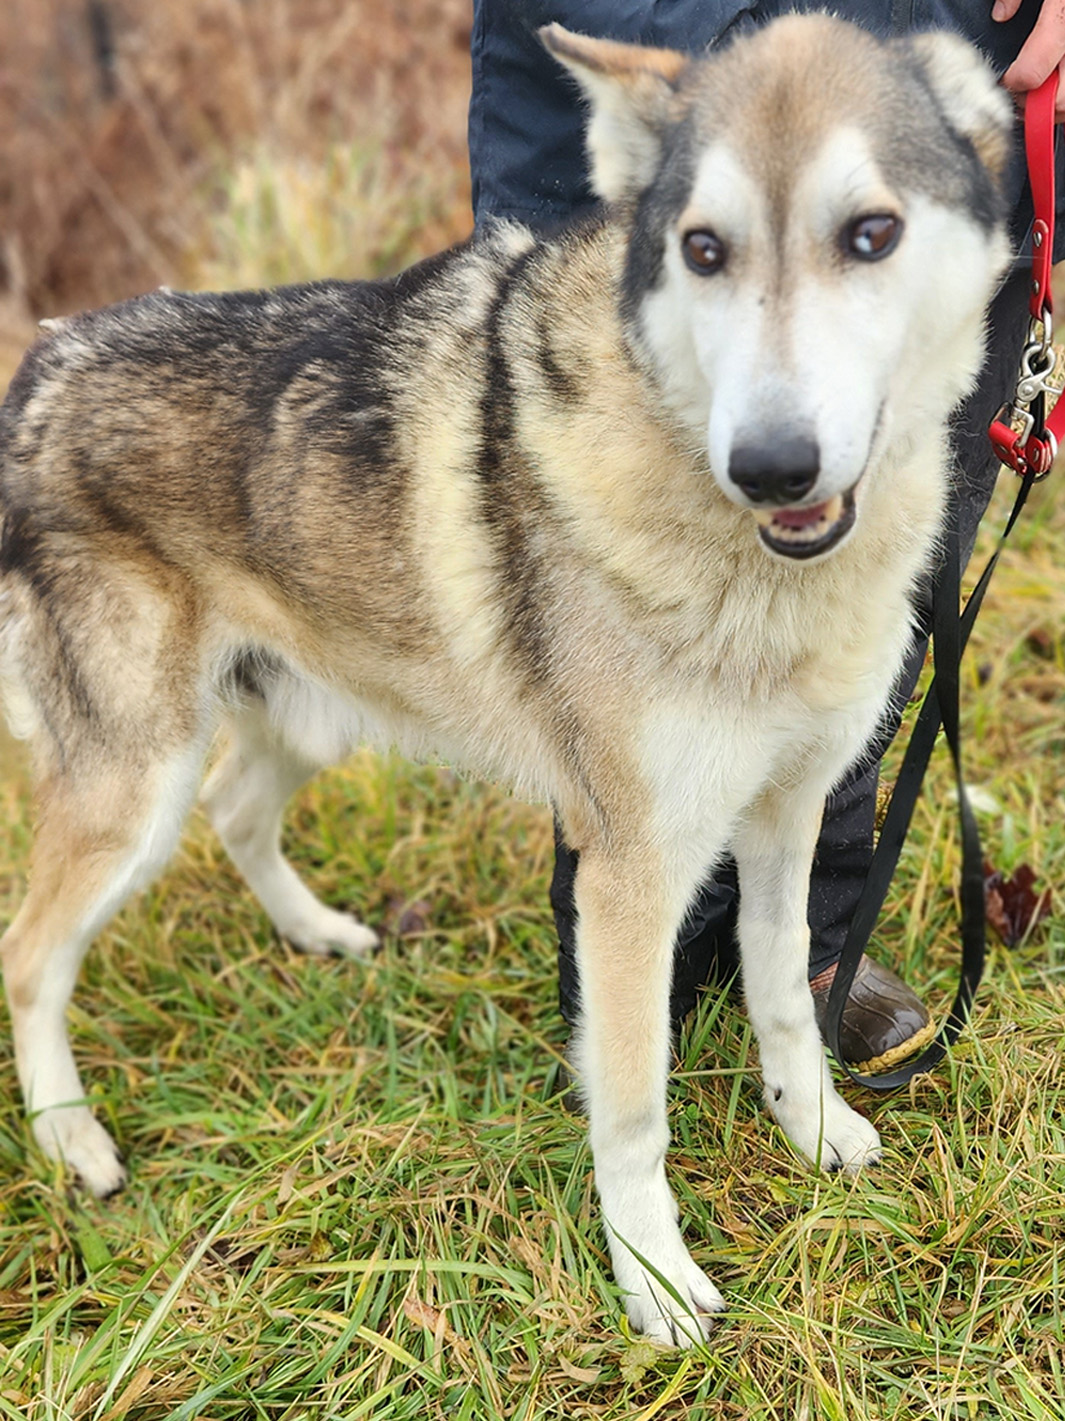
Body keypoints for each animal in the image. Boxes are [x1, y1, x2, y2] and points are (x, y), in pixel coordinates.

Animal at [0, 13, 1012, 1341]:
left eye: (871, 233)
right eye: (702, 249)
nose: (771, 464)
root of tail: (44, 359)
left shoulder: (787, 818)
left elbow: (789, 993)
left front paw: (816, 1132)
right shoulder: (631, 878)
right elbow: (632, 1108)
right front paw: (655, 1284)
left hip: (302, 721)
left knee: (237, 810)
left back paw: (321, 933)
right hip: (136, 794)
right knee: (29, 954)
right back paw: (74, 1141)